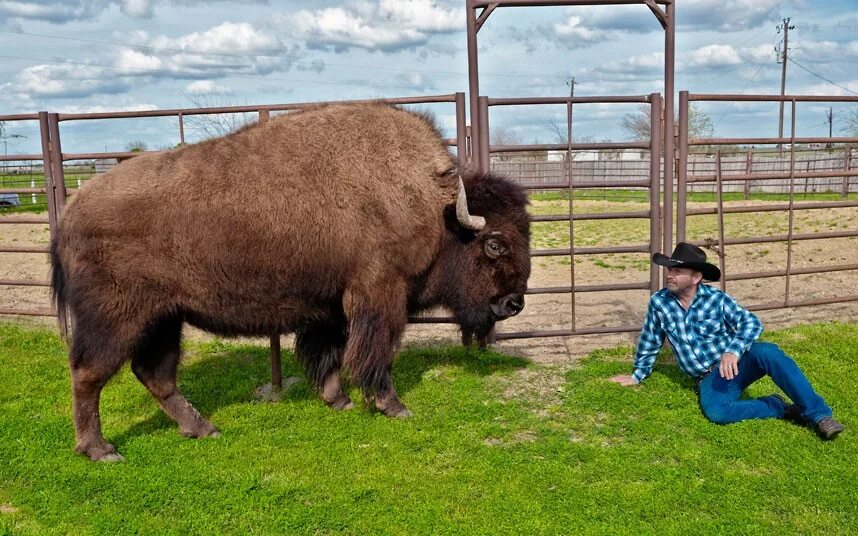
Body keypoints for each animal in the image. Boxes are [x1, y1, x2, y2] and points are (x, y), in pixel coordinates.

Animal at [51, 103, 528, 460]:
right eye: (494, 244)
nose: (514, 304)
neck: (437, 205)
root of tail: (69, 214)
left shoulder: (333, 306)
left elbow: (329, 352)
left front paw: (338, 400)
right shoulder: (379, 295)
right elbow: (375, 352)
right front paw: (392, 406)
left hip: (165, 319)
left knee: (155, 374)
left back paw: (203, 428)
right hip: (116, 319)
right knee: (88, 373)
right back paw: (101, 450)